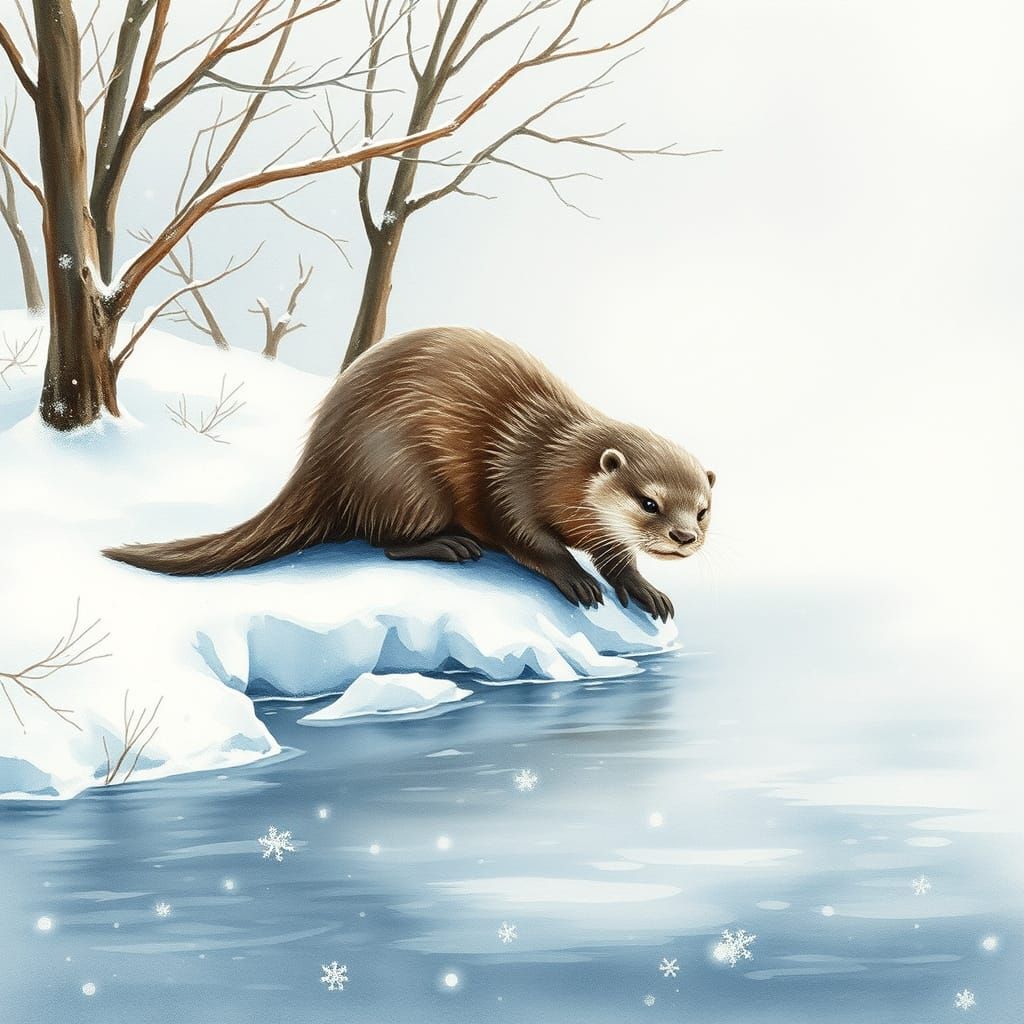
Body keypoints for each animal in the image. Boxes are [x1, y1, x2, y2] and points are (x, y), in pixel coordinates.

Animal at [103, 327, 714, 621]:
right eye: (649, 502)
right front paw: (576, 578)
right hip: (405, 480)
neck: (553, 458)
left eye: (703, 510)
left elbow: (617, 557)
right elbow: (523, 536)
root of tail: (318, 462)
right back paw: (450, 545)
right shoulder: (509, 476)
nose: (685, 536)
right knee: (384, 541)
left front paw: (645, 589)